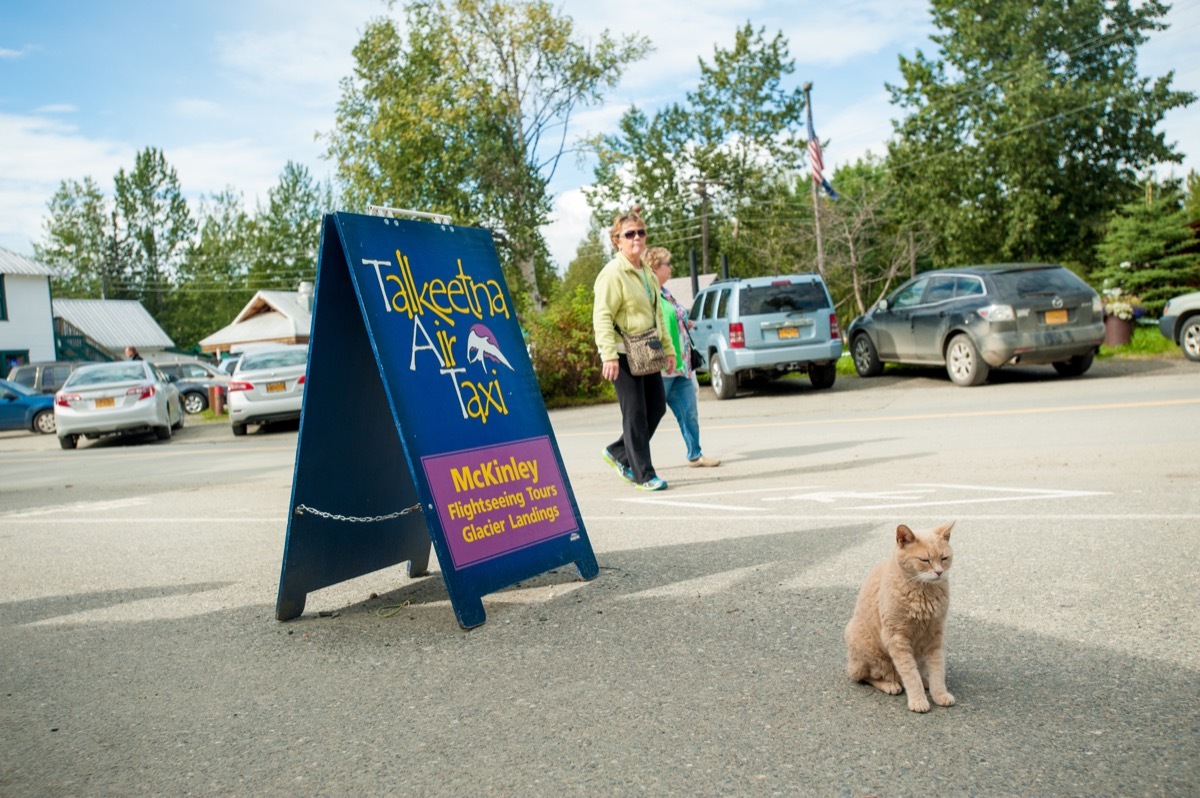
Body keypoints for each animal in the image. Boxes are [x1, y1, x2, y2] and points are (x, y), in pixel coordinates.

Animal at [844, 520, 955, 710]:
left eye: (944, 558)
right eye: (925, 560)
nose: (939, 572)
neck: (923, 591)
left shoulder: (935, 635)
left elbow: (937, 669)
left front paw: (939, 694)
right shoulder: (896, 637)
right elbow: (910, 674)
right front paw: (918, 699)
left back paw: (925, 681)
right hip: (865, 647)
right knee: (866, 676)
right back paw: (890, 684)